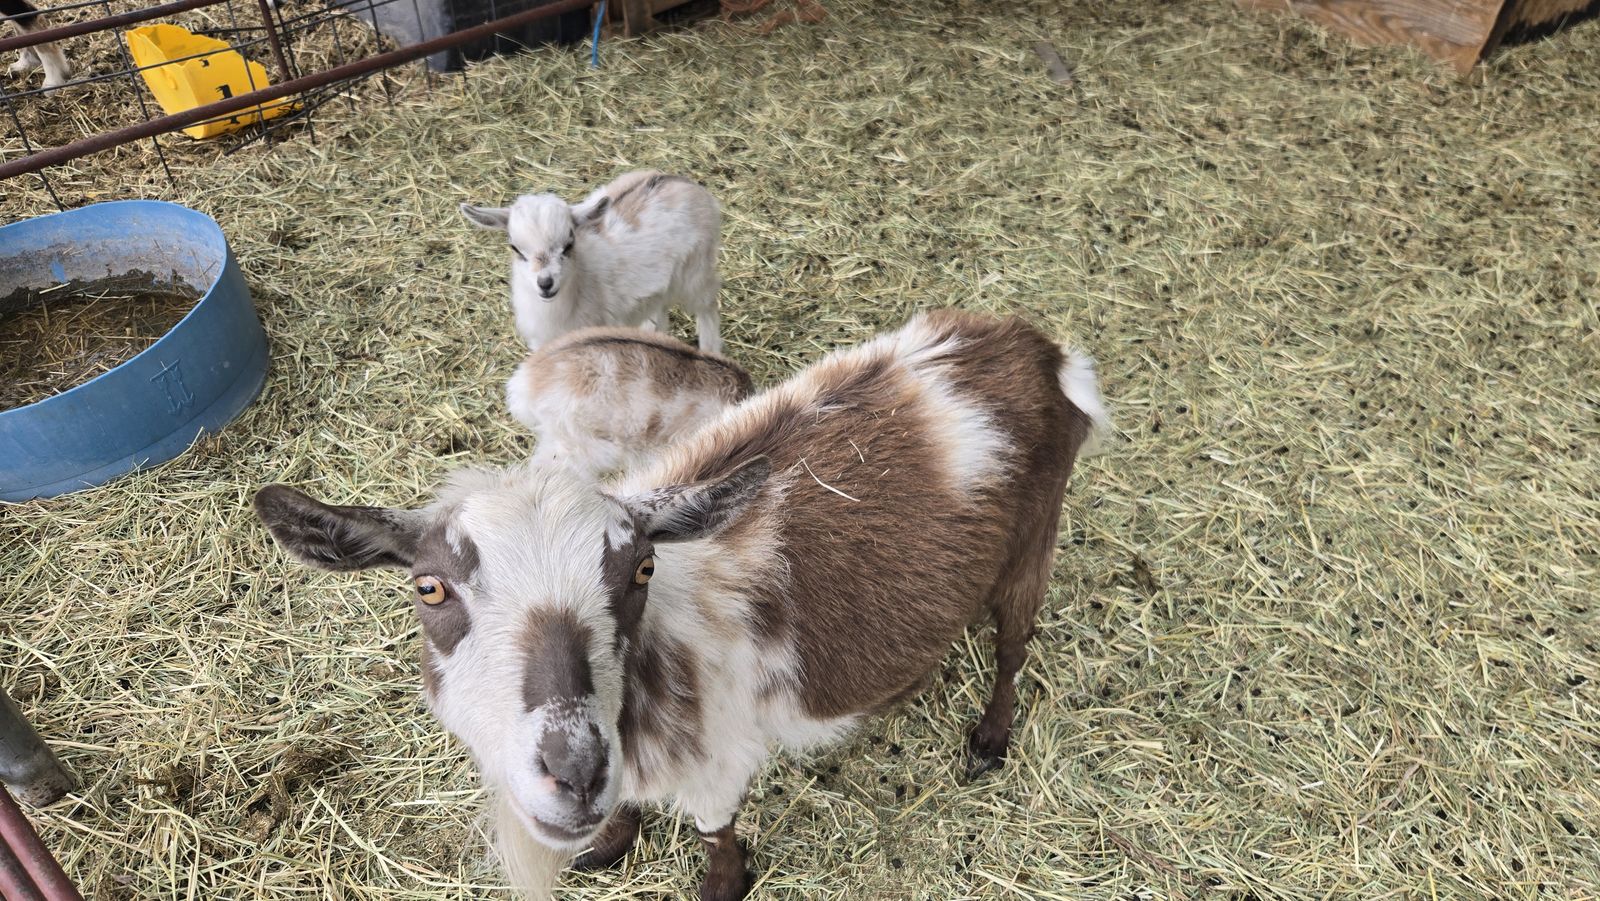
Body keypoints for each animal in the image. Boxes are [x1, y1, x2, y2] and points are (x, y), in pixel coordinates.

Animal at [461, 170, 723, 354]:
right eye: (515, 248)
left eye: (569, 244)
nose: (545, 283)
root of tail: (685, 183)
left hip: (697, 271)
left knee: (707, 306)